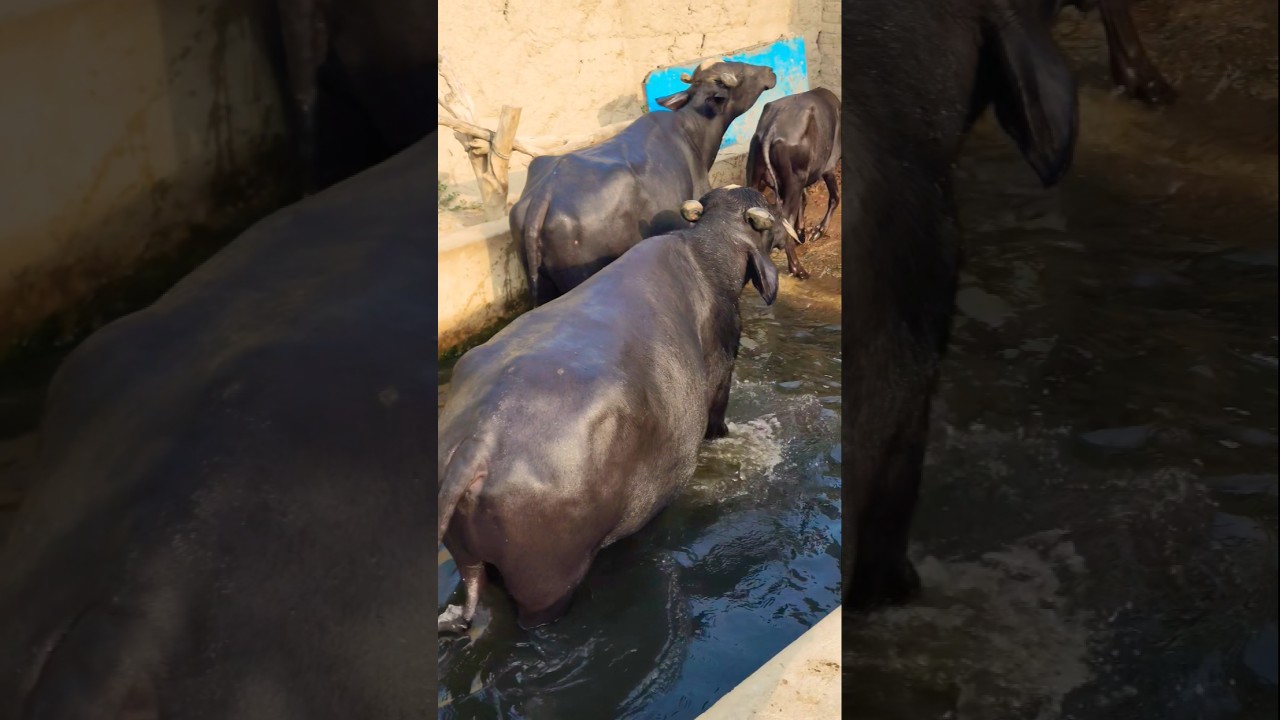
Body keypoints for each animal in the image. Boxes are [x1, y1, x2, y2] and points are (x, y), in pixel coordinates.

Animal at [439, 186, 797, 632]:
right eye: (768, 207)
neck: (707, 254)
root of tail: (477, 444)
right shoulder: (722, 374)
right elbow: (718, 420)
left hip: (473, 564)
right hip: (547, 583)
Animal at [745, 87, 841, 281]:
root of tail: (770, 131)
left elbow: (804, 201)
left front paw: (802, 232)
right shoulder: (828, 167)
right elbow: (835, 197)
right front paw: (817, 231)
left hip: (758, 180)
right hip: (794, 182)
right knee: (785, 221)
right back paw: (798, 269)